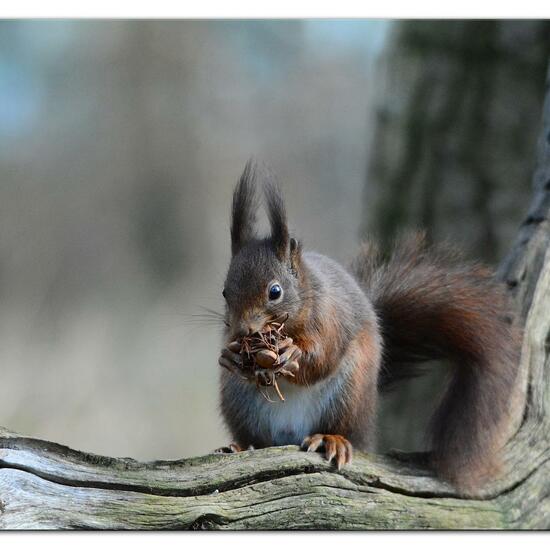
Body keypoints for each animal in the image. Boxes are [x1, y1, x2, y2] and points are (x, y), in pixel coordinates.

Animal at [217, 161, 520, 496]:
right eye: (225, 292)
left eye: (275, 291)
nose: (243, 332)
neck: (305, 298)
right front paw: (229, 357)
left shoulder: (332, 318)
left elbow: (323, 357)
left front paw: (291, 354)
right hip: (240, 402)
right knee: (258, 440)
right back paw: (239, 446)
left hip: (349, 393)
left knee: (344, 430)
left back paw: (332, 440)